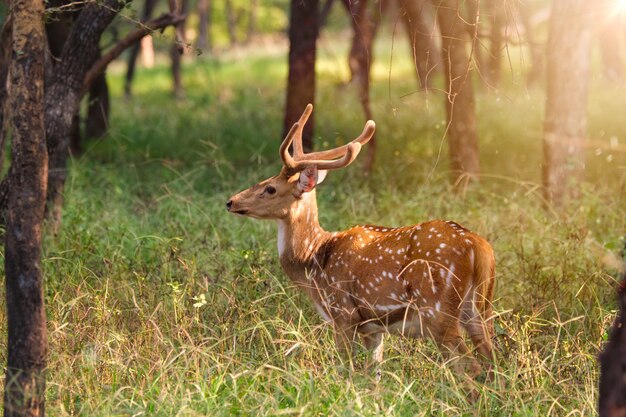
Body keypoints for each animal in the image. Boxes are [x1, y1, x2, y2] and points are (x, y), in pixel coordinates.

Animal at [227, 105, 494, 376]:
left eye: (270, 188)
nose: (231, 201)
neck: (314, 261)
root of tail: (478, 246)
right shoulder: (373, 328)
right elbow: (373, 374)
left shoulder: (343, 313)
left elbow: (345, 369)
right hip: (478, 309)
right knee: (491, 361)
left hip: (438, 312)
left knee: (471, 368)